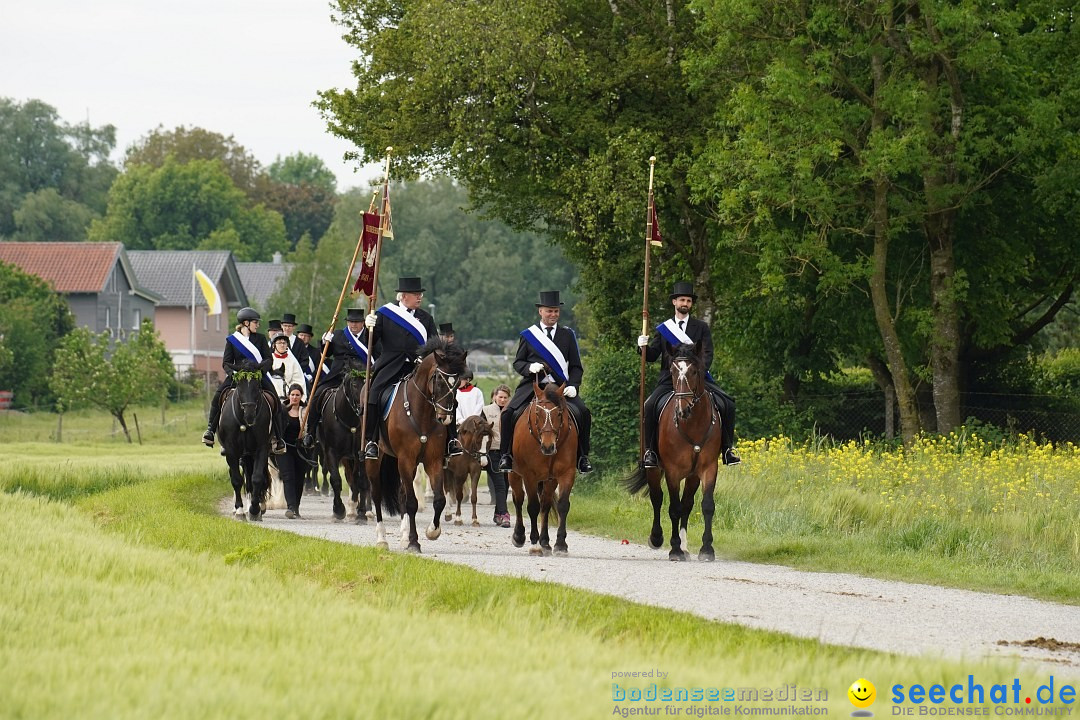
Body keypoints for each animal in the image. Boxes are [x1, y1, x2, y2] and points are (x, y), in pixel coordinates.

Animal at [218, 358, 276, 518]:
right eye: (239, 385)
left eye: (257, 385)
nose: (249, 414)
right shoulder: (231, 450)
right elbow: (237, 479)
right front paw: (239, 509)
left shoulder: (261, 448)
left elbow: (257, 478)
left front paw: (255, 509)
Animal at [315, 358, 373, 524]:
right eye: (354, 384)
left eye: (368, 382)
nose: (364, 409)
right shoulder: (331, 452)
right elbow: (336, 480)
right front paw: (338, 510)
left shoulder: (360, 454)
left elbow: (361, 481)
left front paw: (361, 513)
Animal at [365, 336, 466, 552]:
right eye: (438, 379)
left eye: (456, 383)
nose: (445, 417)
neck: (423, 414)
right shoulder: (406, 459)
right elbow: (411, 503)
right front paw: (414, 542)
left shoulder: (433, 461)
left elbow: (439, 499)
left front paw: (432, 531)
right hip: (376, 460)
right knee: (376, 494)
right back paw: (382, 539)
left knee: (403, 493)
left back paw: (403, 536)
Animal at [507, 375, 578, 561]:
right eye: (537, 413)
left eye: (559, 413)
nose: (548, 447)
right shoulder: (529, 475)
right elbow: (532, 506)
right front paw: (534, 545)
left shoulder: (566, 473)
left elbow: (562, 505)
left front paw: (560, 544)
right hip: (514, 474)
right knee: (518, 499)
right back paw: (520, 536)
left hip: (549, 480)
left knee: (545, 504)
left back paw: (545, 542)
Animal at [622, 343, 721, 561]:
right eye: (673, 372)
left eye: (694, 371)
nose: (683, 410)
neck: (692, 424)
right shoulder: (672, 472)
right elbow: (673, 508)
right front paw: (674, 549)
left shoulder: (708, 468)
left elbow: (706, 505)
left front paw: (706, 549)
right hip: (653, 468)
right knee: (657, 498)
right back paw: (657, 538)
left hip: (692, 476)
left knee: (687, 504)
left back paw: (685, 546)